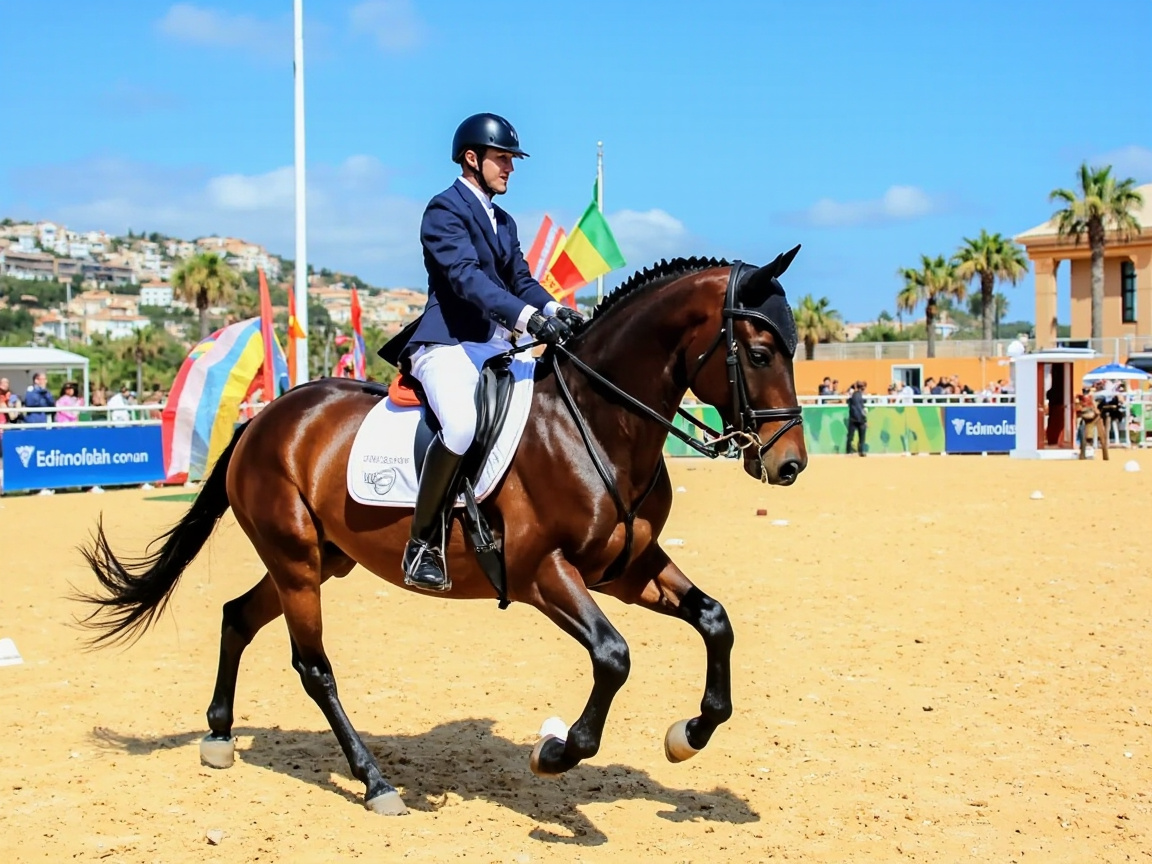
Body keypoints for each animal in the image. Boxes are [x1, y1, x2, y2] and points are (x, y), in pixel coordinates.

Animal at [79, 252, 809, 816]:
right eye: (760, 352)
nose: (789, 464)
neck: (595, 421)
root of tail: (264, 418)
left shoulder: (626, 567)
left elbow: (715, 621)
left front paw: (690, 733)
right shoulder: (543, 572)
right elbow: (613, 656)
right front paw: (555, 753)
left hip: (323, 559)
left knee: (237, 616)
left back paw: (220, 737)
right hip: (296, 560)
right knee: (314, 667)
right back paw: (374, 782)